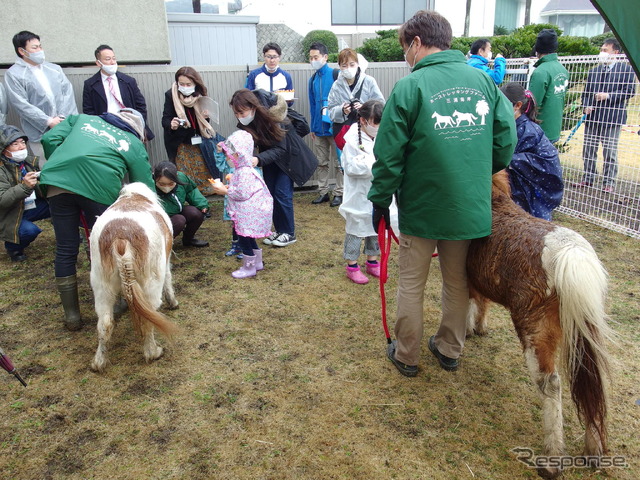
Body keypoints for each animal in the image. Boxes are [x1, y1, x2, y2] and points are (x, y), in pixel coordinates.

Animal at [89, 182, 179, 374]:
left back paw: (99, 362)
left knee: (104, 323)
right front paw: (173, 303)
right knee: (148, 318)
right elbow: (169, 278)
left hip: (101, 285)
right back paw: (153, 352)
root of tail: (120, 237)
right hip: (151, 283)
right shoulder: (166, 261)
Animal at [468, 171, 612, 478]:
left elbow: (471, 304)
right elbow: (483, 305)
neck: (495, 203)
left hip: (536, 331)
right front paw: (480, 328)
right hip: (585, 333)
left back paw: (552, 460)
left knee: (551, 384)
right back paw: (593, 450)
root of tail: (570, 253)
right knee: (591, 381)